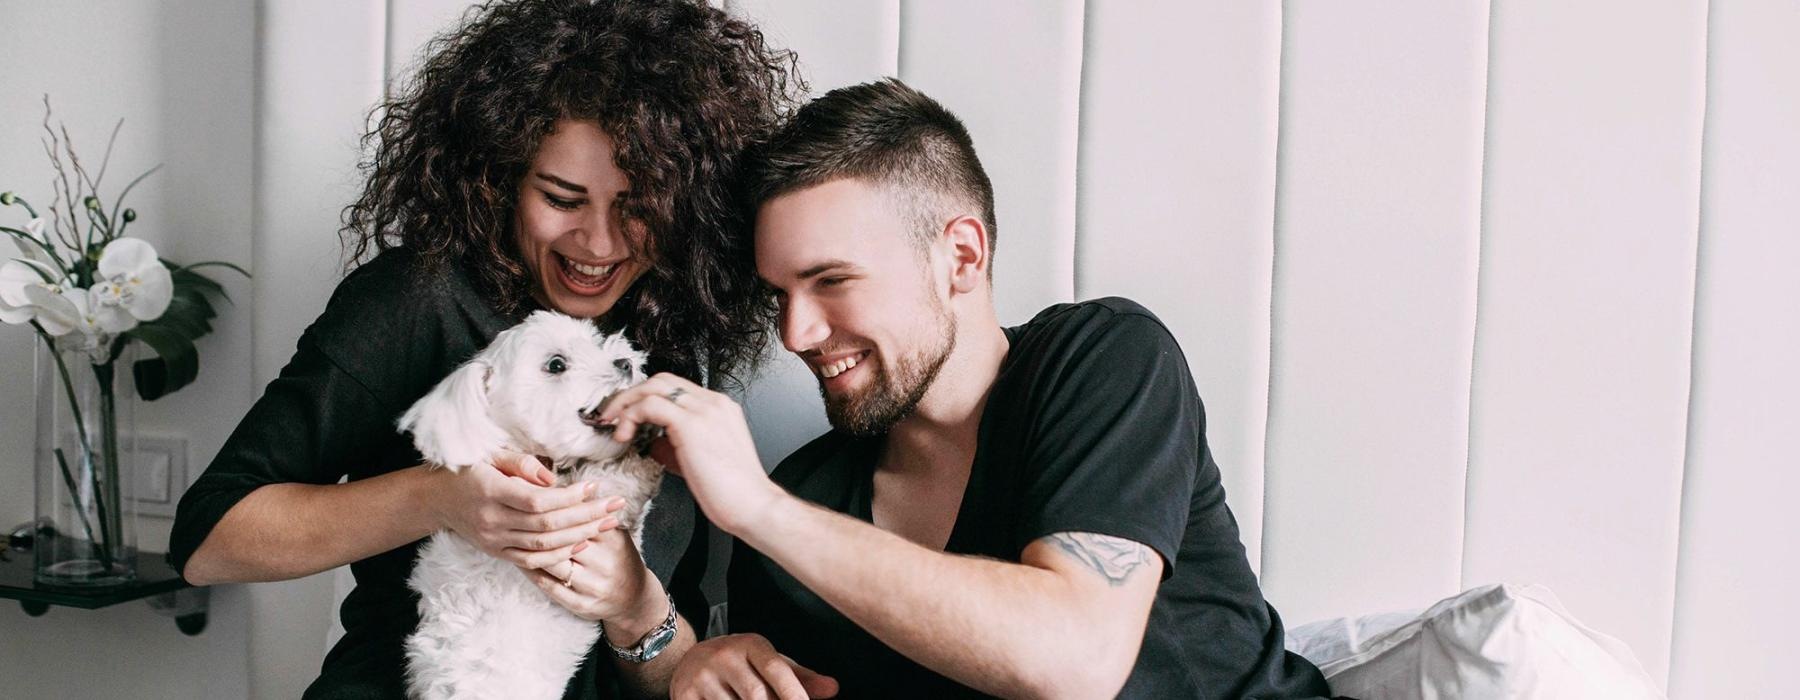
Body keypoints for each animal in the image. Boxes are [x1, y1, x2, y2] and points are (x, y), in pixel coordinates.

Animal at [397, 311, 666, 698]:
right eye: (556, 365)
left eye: (593, 341)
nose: (625, 362)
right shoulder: (580, 509)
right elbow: (618, 484)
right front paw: (642, 450)